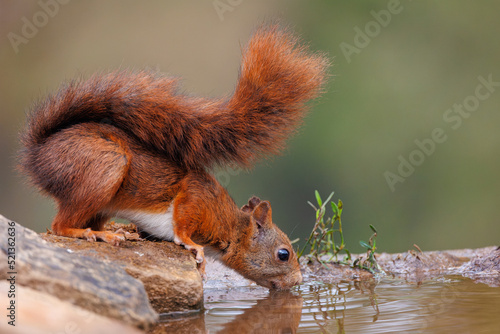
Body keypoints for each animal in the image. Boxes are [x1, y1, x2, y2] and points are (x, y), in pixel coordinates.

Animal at [18, 24, 328, 290]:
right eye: (283, 254)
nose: (299, 282)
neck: (230, 226)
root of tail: (38, 155)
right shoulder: (195, 199)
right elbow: (182, 225)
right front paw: (194, 249)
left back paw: (119, 230)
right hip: (105, 165)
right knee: (59, 226)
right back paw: (96, 234)